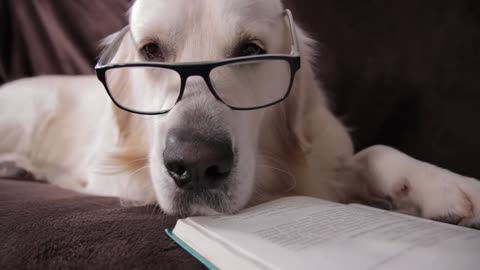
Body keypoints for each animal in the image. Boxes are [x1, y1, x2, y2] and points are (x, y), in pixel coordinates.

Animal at [0, 0, 480, 227]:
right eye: (151, 51)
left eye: (251, 50)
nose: (195, 164)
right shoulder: (117, 174)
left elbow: (372, 153)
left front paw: (443, 185)